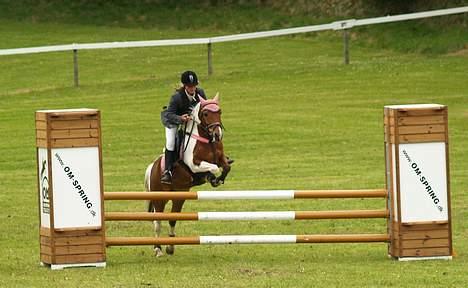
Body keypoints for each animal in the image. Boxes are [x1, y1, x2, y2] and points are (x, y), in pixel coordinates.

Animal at [143, 93, 230, 256]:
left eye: (219, 112)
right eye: (206, 113)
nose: (217, 134)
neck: (207, 140)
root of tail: (152, 167)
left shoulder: (221, 158)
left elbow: (226, 167)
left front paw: (218, 180)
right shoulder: (194, 164)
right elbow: (214, 168)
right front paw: (211, 177)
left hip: (179, 195)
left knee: (172, 219)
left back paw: (170, 247)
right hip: (159, 198)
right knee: (157, 221)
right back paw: (157, 248)